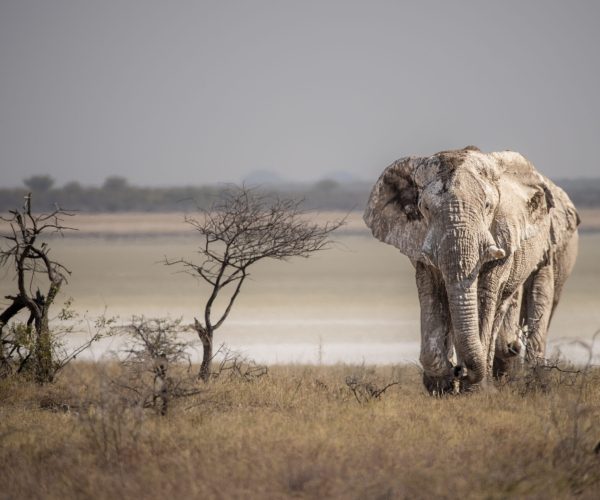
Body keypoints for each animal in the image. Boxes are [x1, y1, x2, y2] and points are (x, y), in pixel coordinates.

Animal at [364, 146, 580, 392]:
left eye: (487, 206)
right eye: (425, 208)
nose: (460, 371)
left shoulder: (504, 235)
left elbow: (485, 295)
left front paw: (472, 389)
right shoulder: (419, 242)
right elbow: (431, 293)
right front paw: (442, 386)